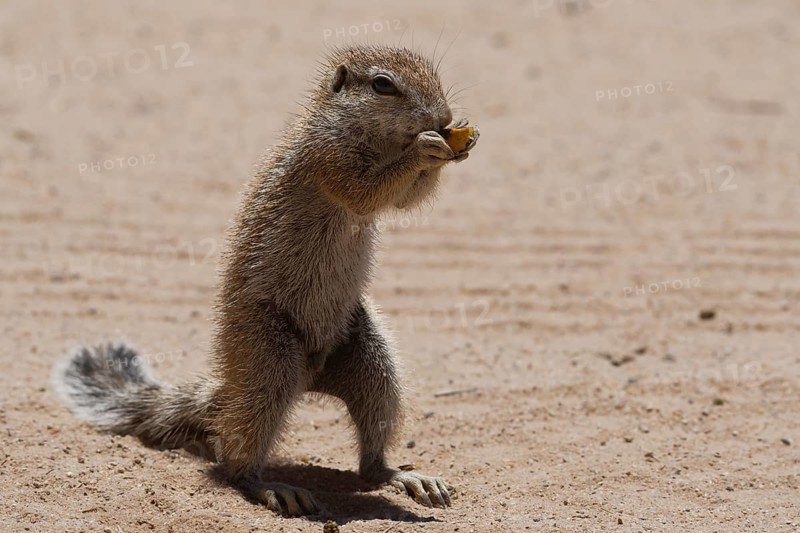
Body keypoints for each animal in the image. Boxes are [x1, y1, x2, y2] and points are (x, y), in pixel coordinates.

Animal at [54, 45, 479, 517]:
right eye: (383, 85)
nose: (443, 116)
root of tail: (310, 378)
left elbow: (406, 199)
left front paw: (457, 144)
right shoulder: (327, 159)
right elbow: (366, 191)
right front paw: (425, 148)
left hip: (373, 361)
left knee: (370, 460)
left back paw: (404, 476)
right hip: (268, 359)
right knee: (236, 454)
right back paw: (270, 486)